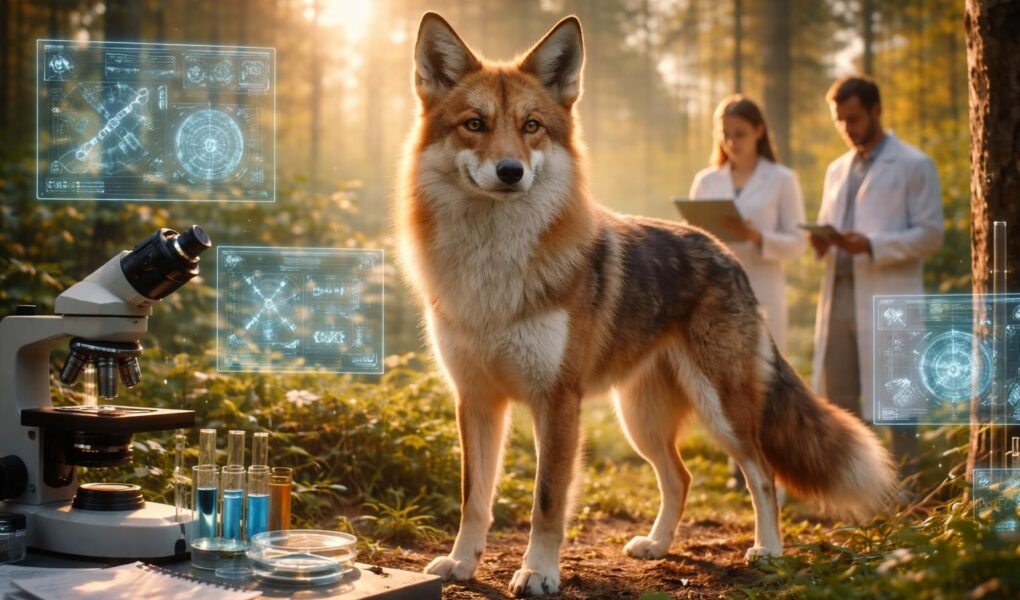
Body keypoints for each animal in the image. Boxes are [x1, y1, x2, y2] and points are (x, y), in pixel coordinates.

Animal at [397, 12, 897, 597]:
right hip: (641, 421)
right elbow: (473, 499)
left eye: (531, 126)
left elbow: (548, 502)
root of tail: (726, 252)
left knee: (762, 474)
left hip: (720, 412)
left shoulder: (557, 403)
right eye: (474, 124)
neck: (492, 272)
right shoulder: (475, 399)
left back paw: (769, 553)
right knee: (681, 477)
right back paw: (657, 546)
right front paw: (461, 563)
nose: (510, 171)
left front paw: (539, 572)